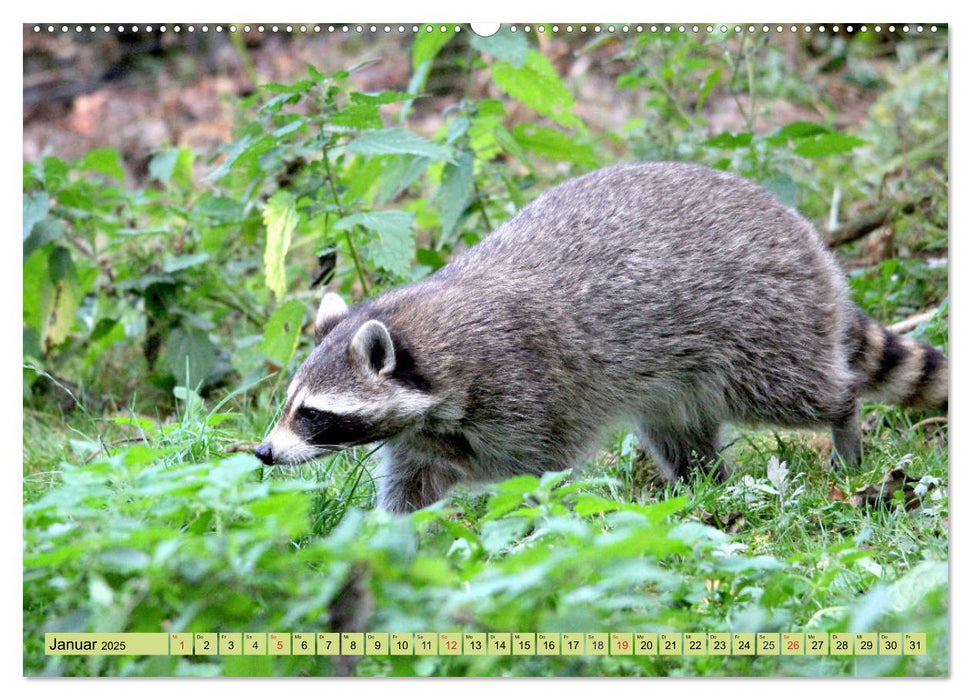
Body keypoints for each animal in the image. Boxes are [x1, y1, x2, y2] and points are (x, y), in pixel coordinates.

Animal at [254, 164, 944, 516]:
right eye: (287, 404)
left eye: (312, 414)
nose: (263, 453)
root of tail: (806, 238)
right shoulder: (422, 438)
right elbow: (407, 496)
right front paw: (382, 542)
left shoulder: (526, 389)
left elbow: (543, 479)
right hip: (680, 379)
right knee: (681, 437)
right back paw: (704, 487)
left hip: (758, 324)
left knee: (797, 391)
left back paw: (844, 422)